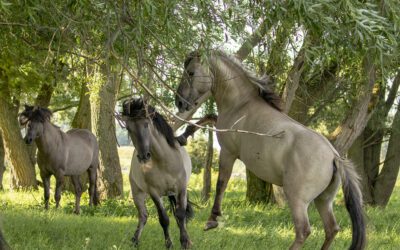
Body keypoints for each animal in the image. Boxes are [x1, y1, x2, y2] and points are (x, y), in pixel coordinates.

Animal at [119, 98, 193, 249]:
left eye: (146, 124)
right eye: (129, 128)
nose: (143, 156)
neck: (164, 161)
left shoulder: (181, 188)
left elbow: (180, 215)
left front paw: (184, 242)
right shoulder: (153, 192)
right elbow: (163, 219)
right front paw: (169, 244)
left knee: (180, 215)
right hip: (138, 192)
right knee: (143, 215)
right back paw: (134, 240)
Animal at [175, 50, 366, 250]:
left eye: (190, 72)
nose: (179, 102)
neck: (242, 103)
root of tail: (334, 157)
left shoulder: (228, 152)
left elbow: (221, 183)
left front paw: (212, 220)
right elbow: (208, 116)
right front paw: (183, 136)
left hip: (298, 200)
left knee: (304, 230)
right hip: (323, 200)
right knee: (331, 229)